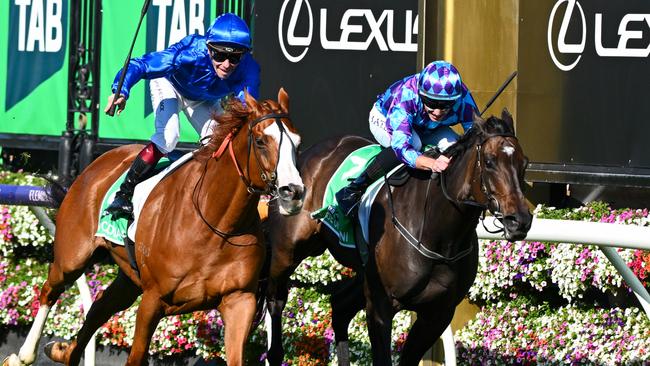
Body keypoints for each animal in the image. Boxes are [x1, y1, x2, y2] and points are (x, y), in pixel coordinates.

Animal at [1, 89, 306, 366]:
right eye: (261, 141)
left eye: (298, 143)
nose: (293, 192)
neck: (217, 224)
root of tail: (95, 165)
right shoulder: (152, 299)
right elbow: (135, 357)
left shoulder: (239, 300)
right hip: (73, 255)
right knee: (50, 290)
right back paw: (22, 355)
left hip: (128, 278)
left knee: (97, 310)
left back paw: (63, 351)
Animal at [264, 110, 532, 364]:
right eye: (489, 161)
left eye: (524, 162)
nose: (519, 220)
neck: (438, 234)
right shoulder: (380, 306)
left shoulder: (438, 312)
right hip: (287, 252)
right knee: (275, 299)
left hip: (363, 271)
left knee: (340, 306)